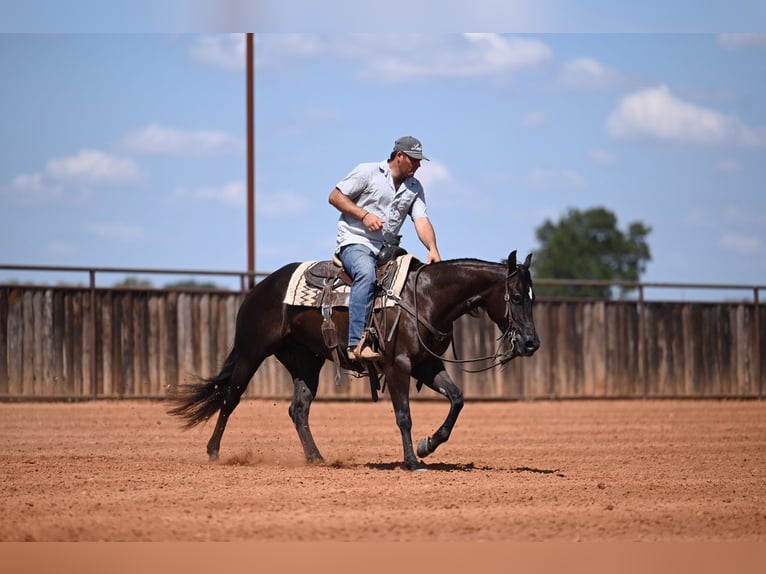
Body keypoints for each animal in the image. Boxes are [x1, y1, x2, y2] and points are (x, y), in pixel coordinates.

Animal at [167, 250, 540, 470]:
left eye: (532, 297)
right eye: (517, 297)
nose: (531, 343)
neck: (424, 298)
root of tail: (260, 288)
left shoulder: (427, 365)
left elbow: (458, 399)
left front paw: (428, 445)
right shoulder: (398, 366)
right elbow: (404, 416)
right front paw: (411, 461)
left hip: (306, 361)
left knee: (298, 409)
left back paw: (316, 458)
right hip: (251, 351)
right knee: (230, 397)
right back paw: (214, 452)